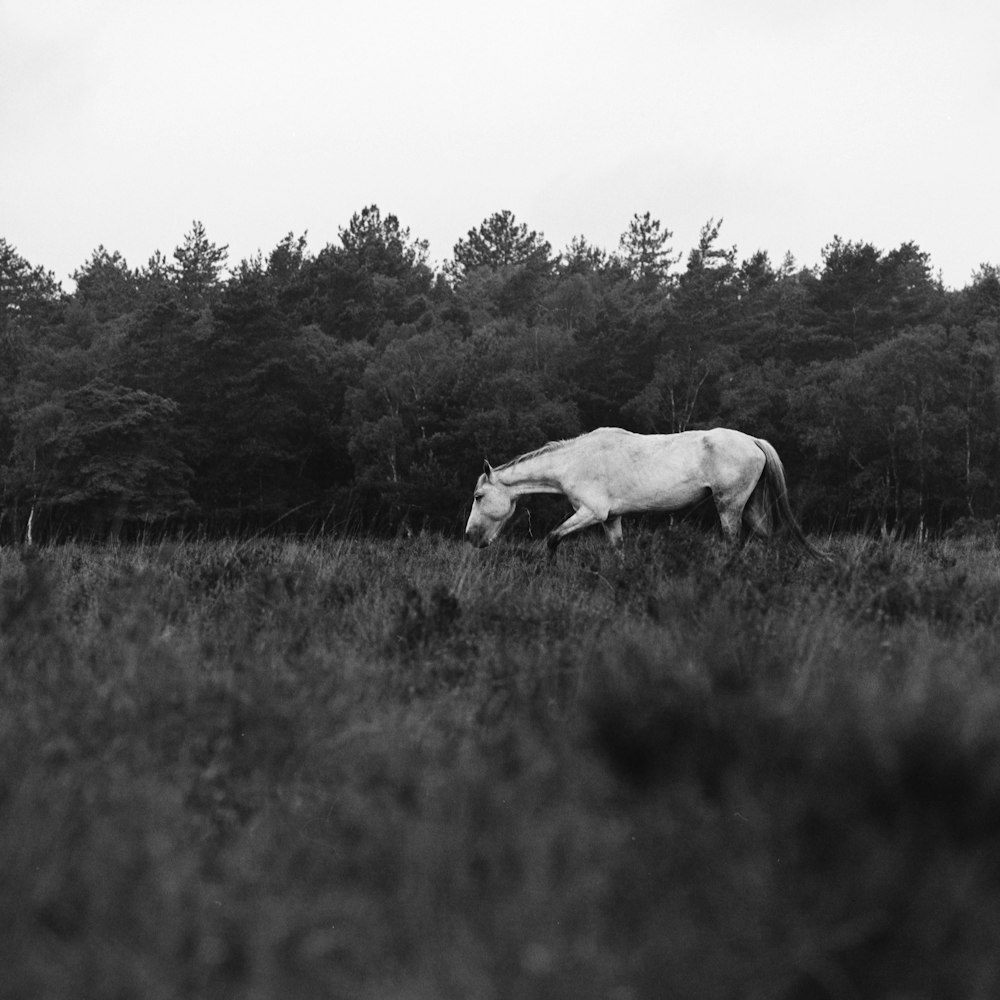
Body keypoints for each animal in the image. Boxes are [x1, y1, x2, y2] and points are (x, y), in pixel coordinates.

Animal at [464, 426, 824, 560]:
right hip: (749, 505)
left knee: (733, 543)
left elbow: (553, 538)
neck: (574, 461)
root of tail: (752, 440)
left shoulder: (591, 513)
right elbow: (618, 552)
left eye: (478, 497)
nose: (470, 537)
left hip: (730, 505)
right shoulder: (610, 519)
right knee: (765, 538)